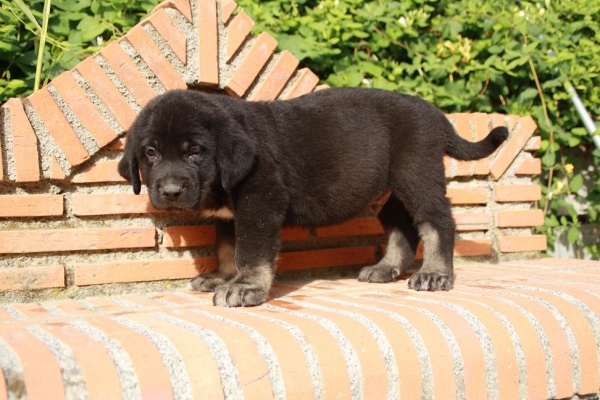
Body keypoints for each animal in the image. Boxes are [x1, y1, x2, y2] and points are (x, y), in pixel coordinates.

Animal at [119, 87, 508, 306]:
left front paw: (245, 287)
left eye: (194, 152)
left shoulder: (260, 201)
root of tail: (439, 117)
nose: (170, 192)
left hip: (417, 172)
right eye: (150, 153)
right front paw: (223, 277)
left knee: (437, 220)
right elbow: (228, 248)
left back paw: (436, 274)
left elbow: (250, 252)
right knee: (401, 225)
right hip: (393, 187)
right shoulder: (234, 215)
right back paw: (386, 267)